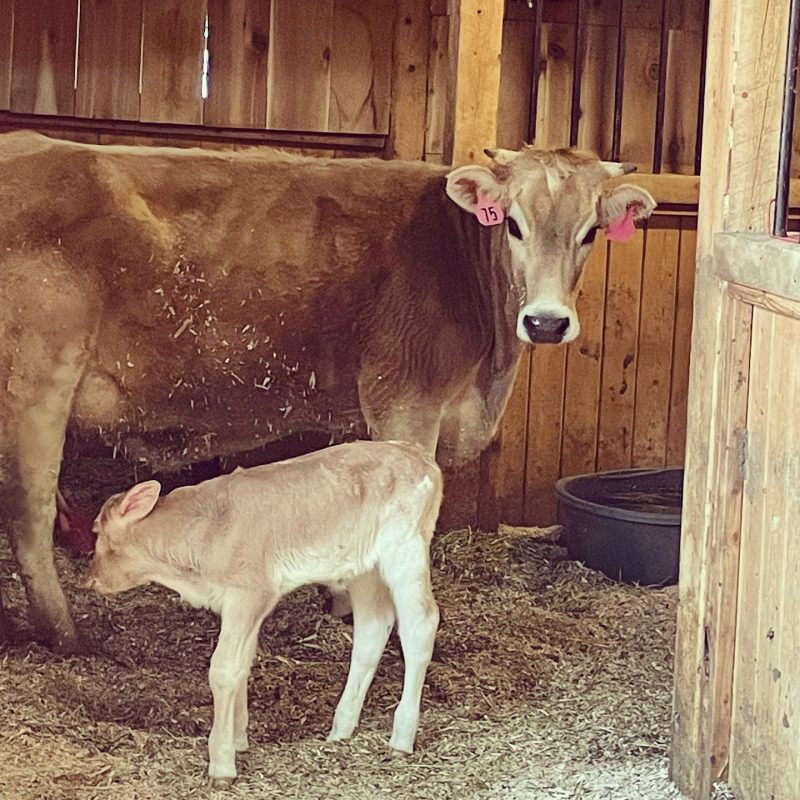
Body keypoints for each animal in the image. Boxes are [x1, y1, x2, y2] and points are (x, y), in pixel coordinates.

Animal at [0, 131, 656, 652]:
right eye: (514, 224)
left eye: (591, 232)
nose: (545, 322)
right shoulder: (407, 404)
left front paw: (342, 603)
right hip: (37, 384)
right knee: (29, 516)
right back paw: (68, 636)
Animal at [82, 440, 443, 786]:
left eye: (96, 530)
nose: (91, 579)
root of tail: (416, 454)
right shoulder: (244, 606)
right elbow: (242, 665)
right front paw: (239, 738)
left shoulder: (249, 593)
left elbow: (224, 669)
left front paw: (222, 762)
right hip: (364, 567)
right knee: (371, 630)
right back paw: (340, 730)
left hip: (405, 550)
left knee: (420, 625)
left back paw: (401, 738)